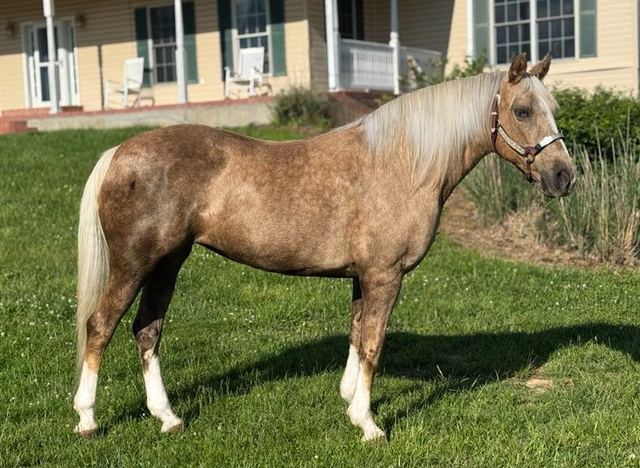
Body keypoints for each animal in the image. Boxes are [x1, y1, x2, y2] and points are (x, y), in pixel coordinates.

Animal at [73, 53, 575, 441]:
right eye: (523, 111)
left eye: (552, 107)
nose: (563, 176)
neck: (403, 163)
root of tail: (118, 152)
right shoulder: (384, 276)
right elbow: (373, 343)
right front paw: (369, 425)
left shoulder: (361, 276)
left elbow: (355, 335)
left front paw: (350, 402)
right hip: (134, 264)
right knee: (100, 327)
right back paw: (87, 420)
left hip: (167, 264)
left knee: (147, 332)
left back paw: (169, 418)